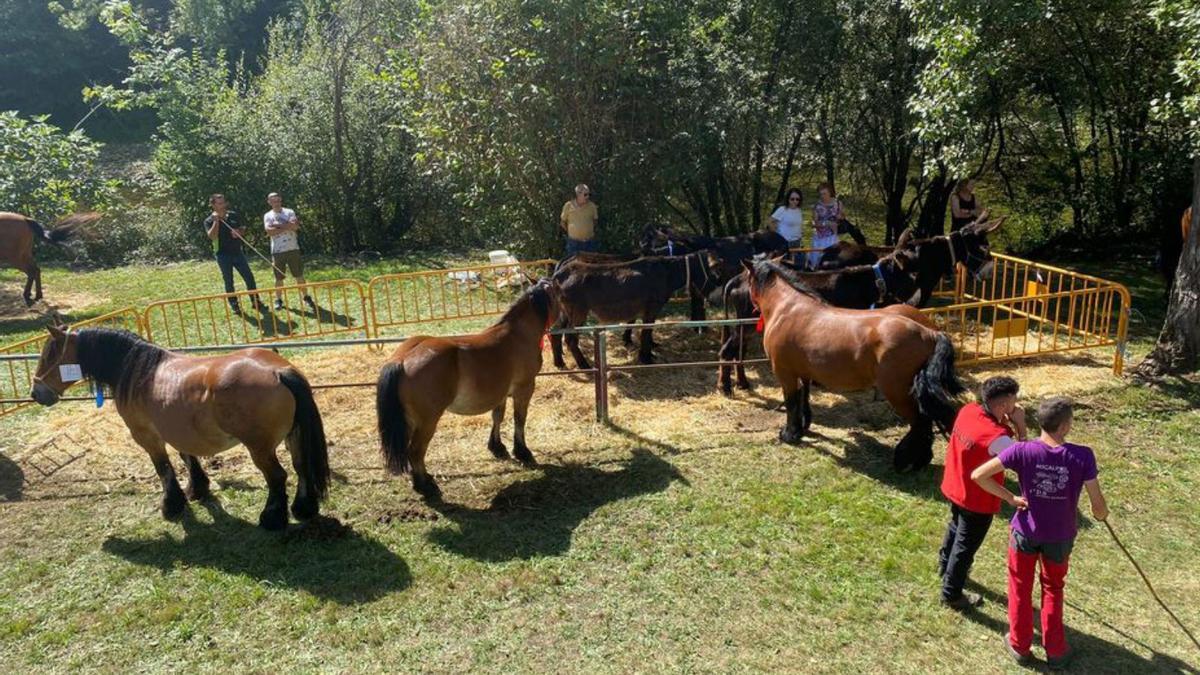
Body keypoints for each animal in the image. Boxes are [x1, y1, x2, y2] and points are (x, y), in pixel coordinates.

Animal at [31, 324, 331, 526]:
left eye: (49, 355)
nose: (36, 393)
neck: (140, 372)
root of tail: (279, 371)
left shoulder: (147, 436)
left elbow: (164, 468)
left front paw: (172, 505)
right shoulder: (176, 429)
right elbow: (188, 458)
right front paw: (197, 489)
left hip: (260, 448)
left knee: (277, 476)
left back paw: (271, 518)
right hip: (295, 435)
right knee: (301, 467)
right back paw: (303, 509)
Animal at [374, 276, 561, 497]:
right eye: (559, 294)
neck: (518, 334)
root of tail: (401, 360)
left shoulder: (501, 392)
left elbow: (497, 417)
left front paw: (497, 447)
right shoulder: (524, 389)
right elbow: (519, 419)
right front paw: (522, 452)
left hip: (410, 419)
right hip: (427, 421)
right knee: (416, 451)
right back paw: (426, 486)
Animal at [549, 252, 715, 367]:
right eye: (715, 271)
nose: (711, 300)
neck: (667, 272)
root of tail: (559, 273)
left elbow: (643, 330)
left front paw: (643, 350)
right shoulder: (651, 309)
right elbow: (646, 333)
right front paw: (646, 358)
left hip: (566, 312)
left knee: (556, 331)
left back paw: (559, 362)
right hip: (578, 313)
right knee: (570, 338)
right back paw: (584, 365)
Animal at [739, 254, 964, 470]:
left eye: (746, 278)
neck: (788, 308)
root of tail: (930, 333)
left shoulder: (785, 372)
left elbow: (791, 402)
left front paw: (789, 434)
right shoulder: (803, 372)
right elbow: (804, 398)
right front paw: (803, 427)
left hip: (899, 393)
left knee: (921, 423)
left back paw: (908, 461)